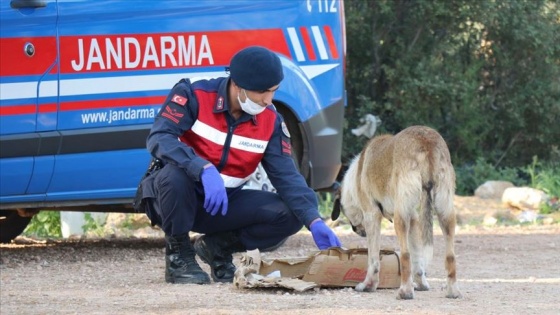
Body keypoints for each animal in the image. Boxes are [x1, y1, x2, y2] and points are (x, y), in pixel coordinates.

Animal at [334, 126, 462, 302]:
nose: (357, 231)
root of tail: (426, 141)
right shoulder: (414, 218)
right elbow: (418, 260)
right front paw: (421, 285)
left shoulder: (371, 215)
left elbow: (373, 259)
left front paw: (368, 286)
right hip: (445, 210)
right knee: (450, 255)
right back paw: (452, 291)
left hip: (400, 217)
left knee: (405, 255)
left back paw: (405, 292)